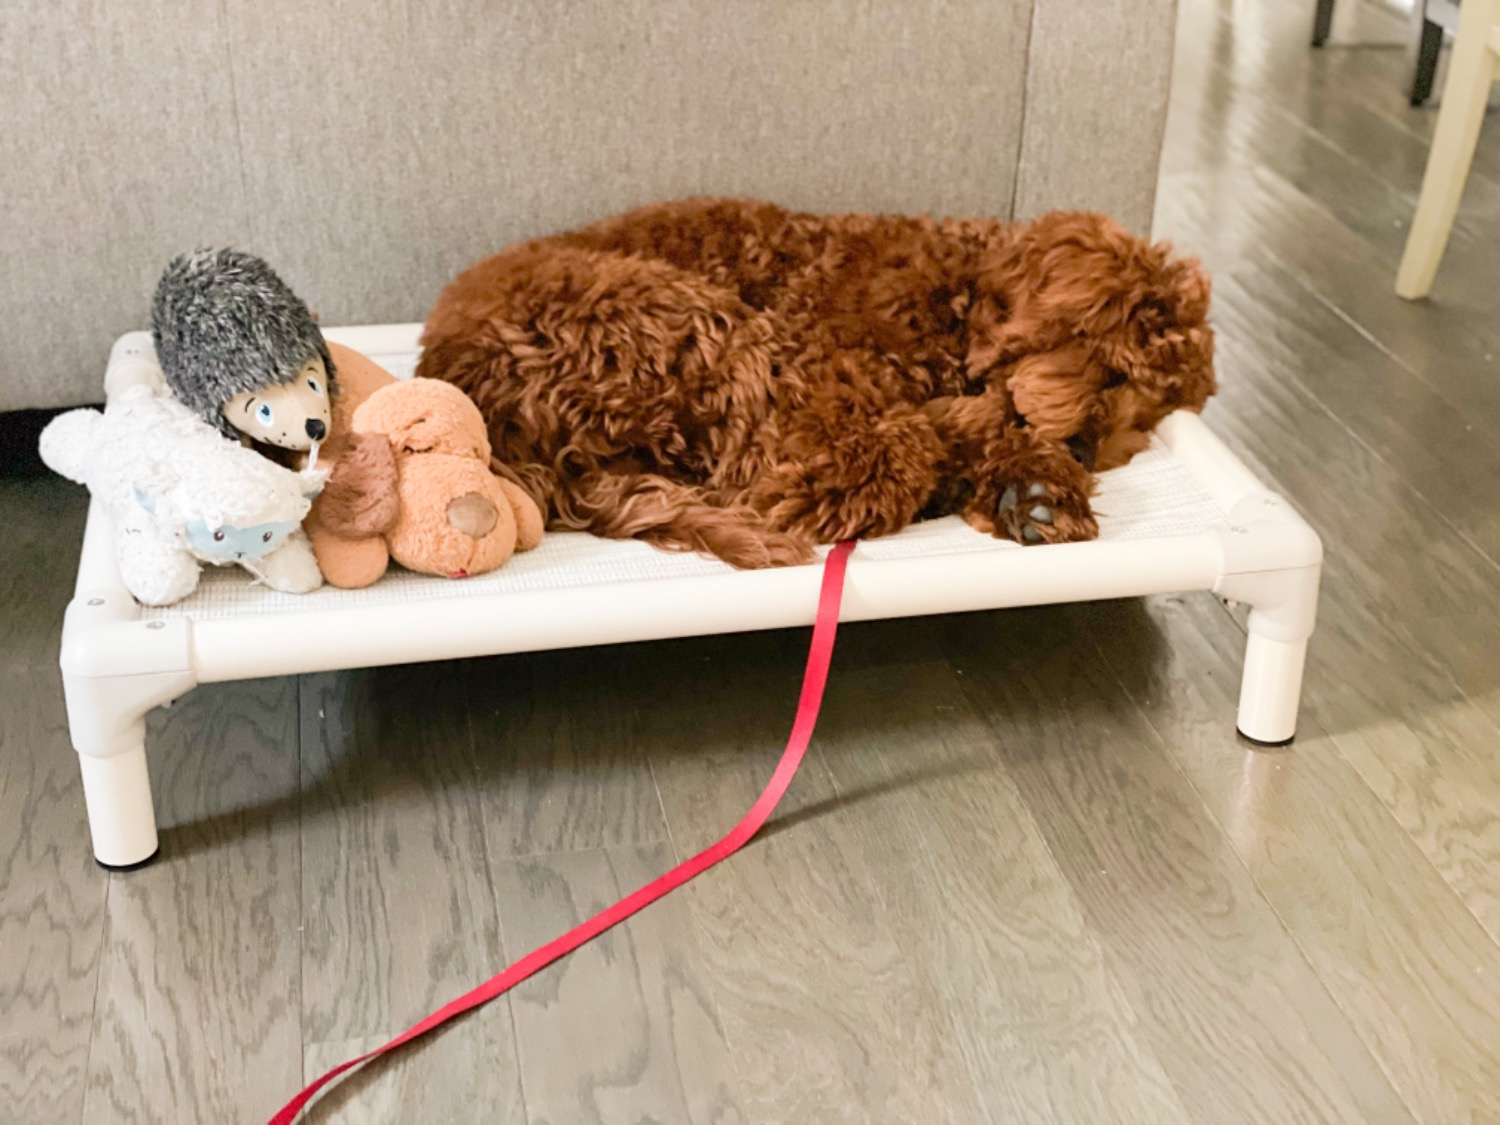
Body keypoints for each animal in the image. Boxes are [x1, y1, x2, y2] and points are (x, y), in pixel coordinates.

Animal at [417, 196, 1212, 573]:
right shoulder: (814, 385)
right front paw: (1018, 466)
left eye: (1151, 416)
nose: (1085, 451)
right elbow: (903, 443)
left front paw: (1040, 488)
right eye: (1113, 361)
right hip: (691, 324)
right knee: (789, 475)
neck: (954, 293)